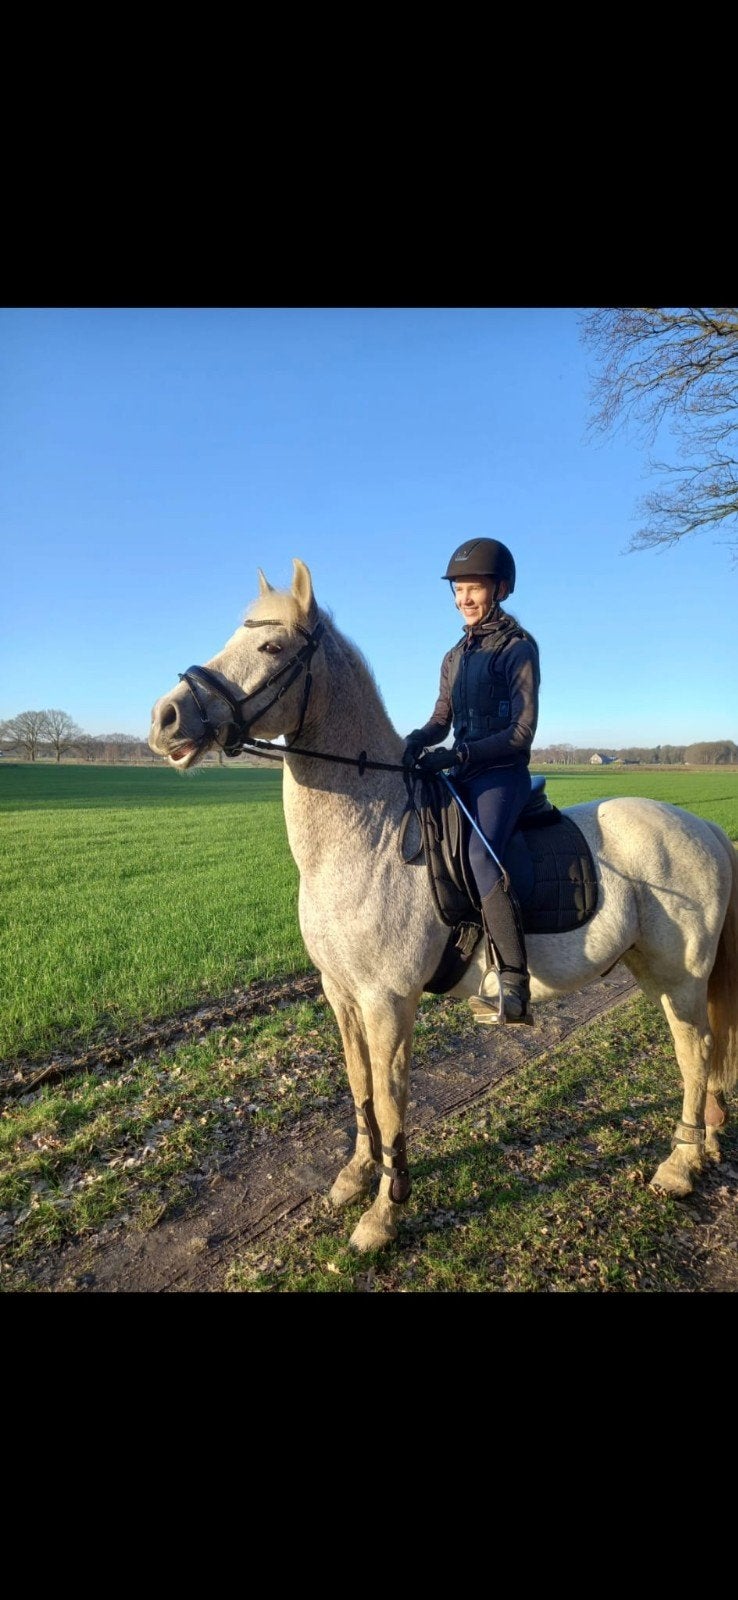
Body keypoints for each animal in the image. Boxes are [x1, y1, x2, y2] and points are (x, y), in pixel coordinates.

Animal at [148, 558, 738, 1254]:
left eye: (270, 648)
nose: (165, 717)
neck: (369, 836)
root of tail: (703, 826)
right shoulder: (340, 994)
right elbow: (360, 1087)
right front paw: (355, 1176)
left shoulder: (388, 999)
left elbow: (391, 1097)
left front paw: (383, 1212)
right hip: (653, 969)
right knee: (703, 1053)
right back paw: (705, 1145)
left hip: (681, 976)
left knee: (695, 1054)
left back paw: (679, 1165)